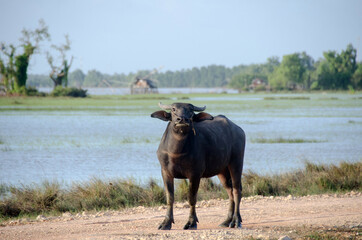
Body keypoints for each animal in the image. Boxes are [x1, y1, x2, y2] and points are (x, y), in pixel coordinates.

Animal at [150, 102, 246, 230]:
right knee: (230, 191)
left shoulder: (195, 174)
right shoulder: (165, 173)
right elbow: (170, 198)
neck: (177, 153)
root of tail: (238, 130)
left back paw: (236, 221)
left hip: (236, 162)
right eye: (174, 109)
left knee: (236, 191)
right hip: (222, 171)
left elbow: (192, 198)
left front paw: (191, 222)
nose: (182, 119)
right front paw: (166, 223)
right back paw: (227, 221)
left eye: (190, 110)